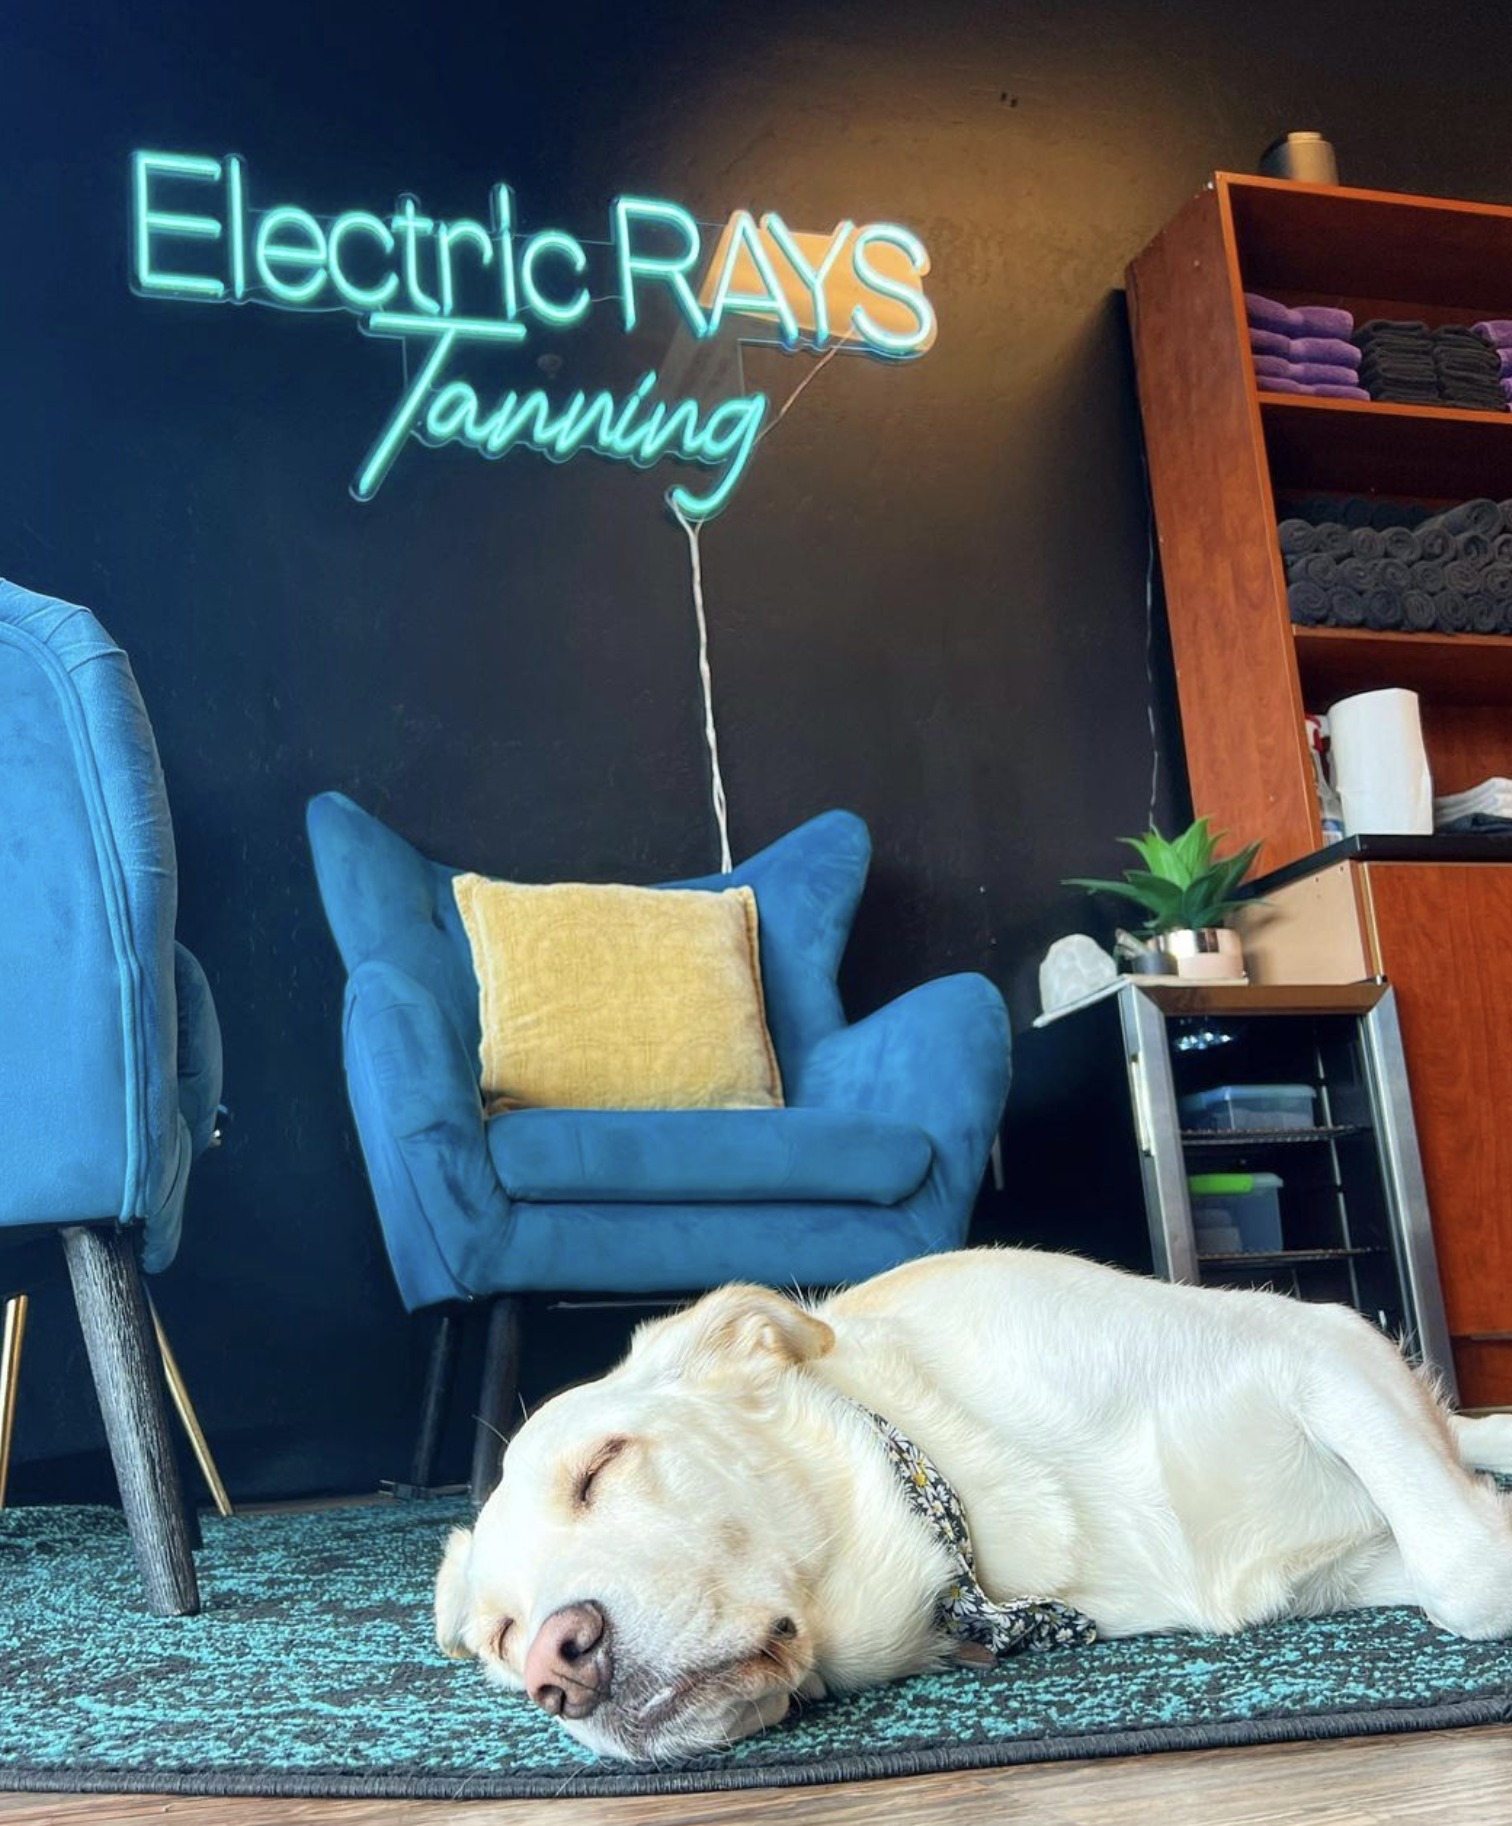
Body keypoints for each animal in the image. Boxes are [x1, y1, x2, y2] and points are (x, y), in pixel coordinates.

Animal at [435, 1248, 1512, 1761]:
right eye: (500, 1636)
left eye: (601, 1466)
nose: (558, 1666)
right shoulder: (1335, 1562)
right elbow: (1460, 1570)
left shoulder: (1320, 1340)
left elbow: (1467, 1568)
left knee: (1460, 1428)